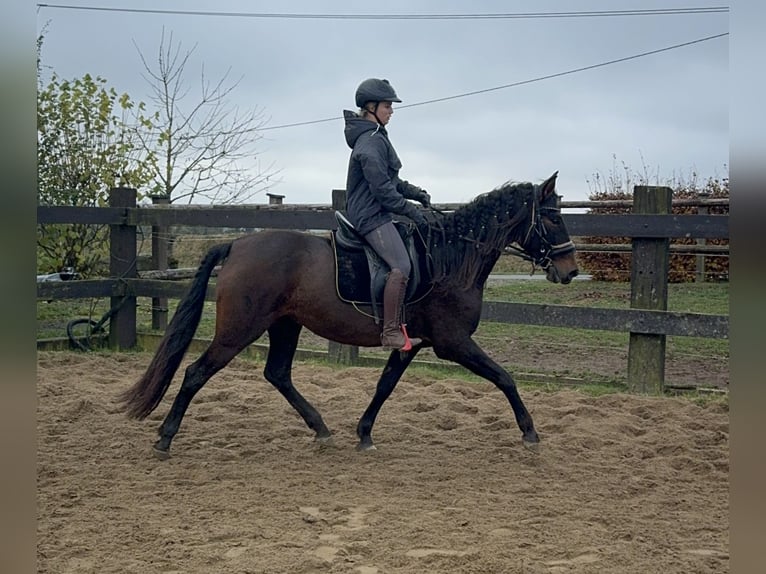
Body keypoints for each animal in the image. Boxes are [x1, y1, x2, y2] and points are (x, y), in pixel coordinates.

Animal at [118, 171, 576, 460]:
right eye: (552, 216)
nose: (570, 270)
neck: (450, 259)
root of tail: (236, 245)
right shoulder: (453, 343)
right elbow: (505, 378)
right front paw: (530, 432)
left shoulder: (412, 344)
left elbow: (384, 385)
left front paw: (364, 433)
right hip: (239, 330)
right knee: (197, 372)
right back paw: (165, 438)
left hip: (285, 325)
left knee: (278, 374)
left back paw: (321, 429)